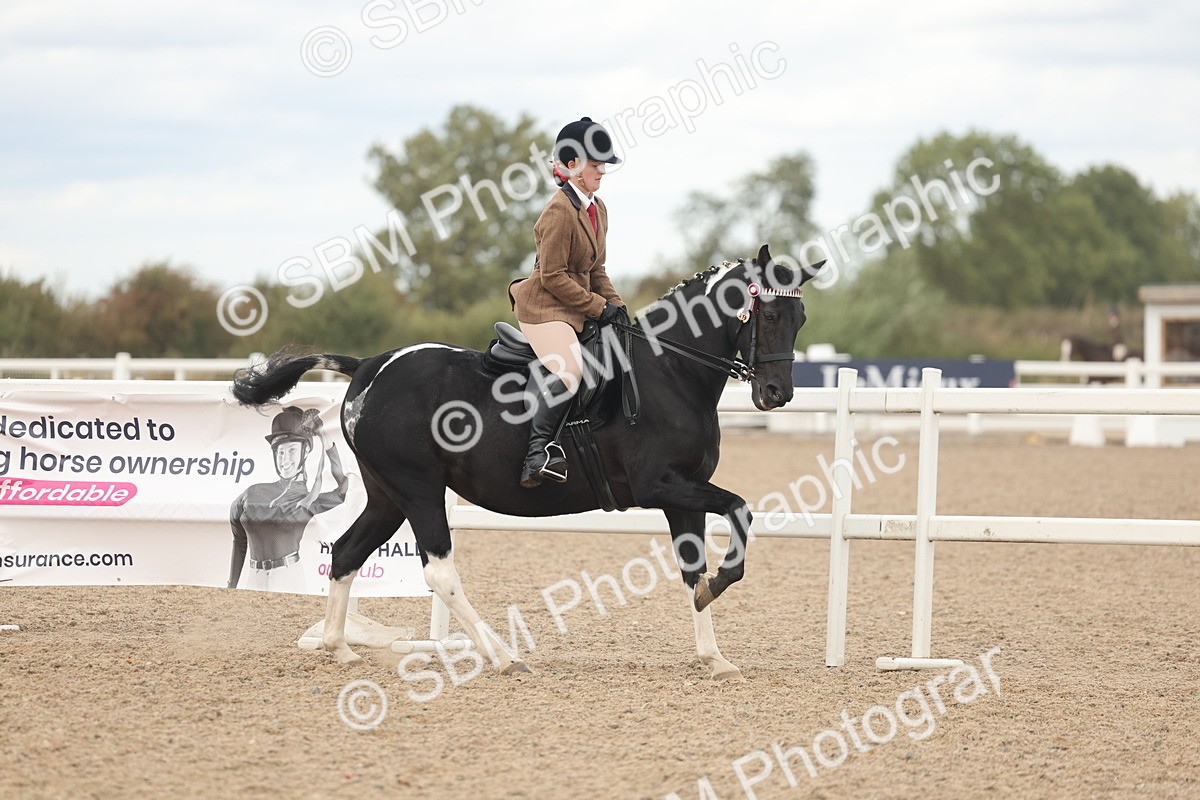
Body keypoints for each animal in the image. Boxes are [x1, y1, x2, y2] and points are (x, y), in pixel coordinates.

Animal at [231, 245, 822, 681]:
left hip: (387, 496)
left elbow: (692, 566)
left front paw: (713, 654)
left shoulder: (686, 492)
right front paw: (721, 586)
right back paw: (500, 656)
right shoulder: (661, 485)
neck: (670, 372)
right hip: (418, 490)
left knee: (348, 552)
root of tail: (372, 366)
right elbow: (741, 510)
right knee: (438, 571)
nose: (777, 393)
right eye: (770, 313)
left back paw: (339, 647)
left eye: (801, 317)